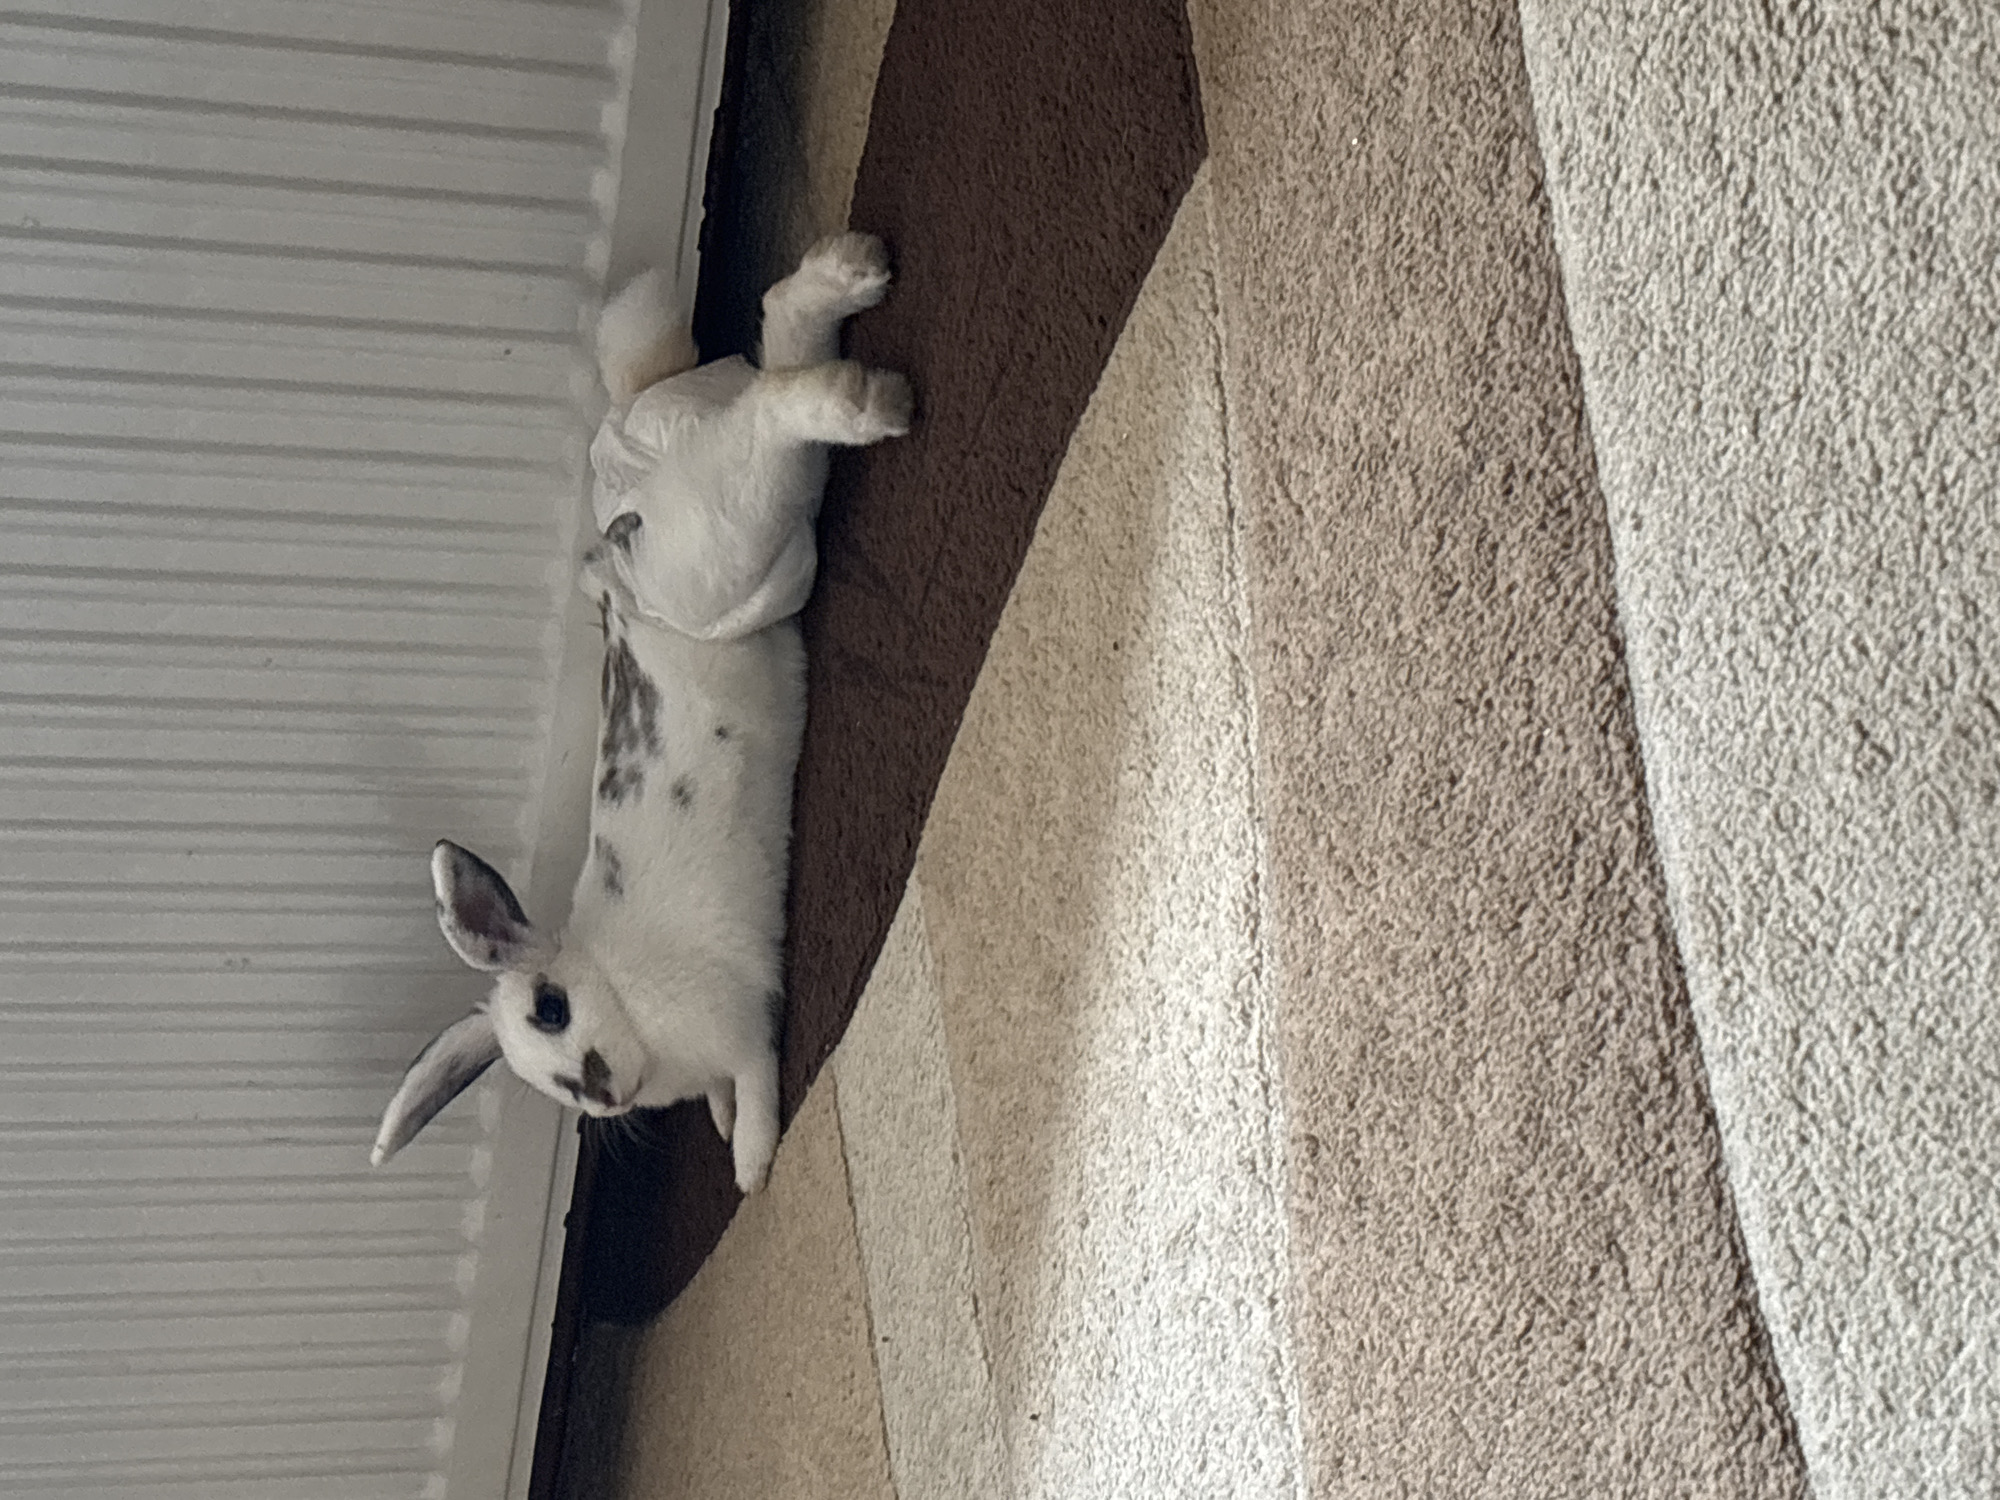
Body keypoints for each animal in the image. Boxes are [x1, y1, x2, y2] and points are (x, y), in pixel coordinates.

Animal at [372, 233, 912, 1193]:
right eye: (547, 1085)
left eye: (551, 1010)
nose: (602, 1096)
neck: (629, 1006)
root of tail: (637, 407)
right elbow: (731, 1096)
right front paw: (729, 1127)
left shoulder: (745, 1030)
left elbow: (758, 1090)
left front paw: (753, 1168)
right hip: (755, 566)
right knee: (775, 347)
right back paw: (848, 279)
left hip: (710, 548)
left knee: (766, 414)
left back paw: (863, 398)